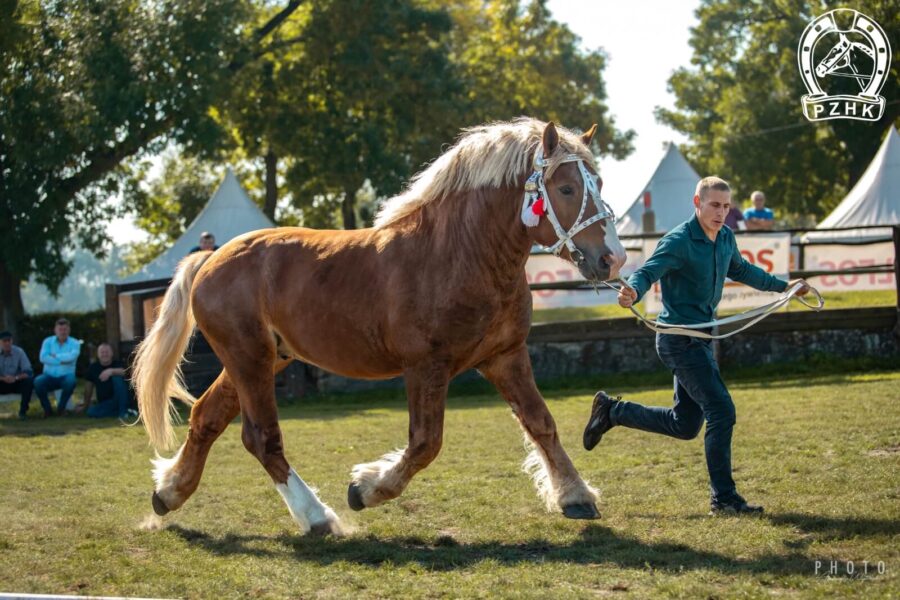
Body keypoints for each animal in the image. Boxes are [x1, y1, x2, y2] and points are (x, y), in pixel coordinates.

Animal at [134, 117, 624, 536]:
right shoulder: (426, 366)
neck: (457, 255)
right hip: (248, 357)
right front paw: (365, 489)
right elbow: (425, 443)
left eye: (599, 183)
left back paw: (167, 493)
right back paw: (318, 517)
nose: (612, 259)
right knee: (261, 437)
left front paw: (575, 497)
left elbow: (541, 423)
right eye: (566, 187)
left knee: (206, 417)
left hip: (264, 358)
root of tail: (209, 259)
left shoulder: (505, 356)